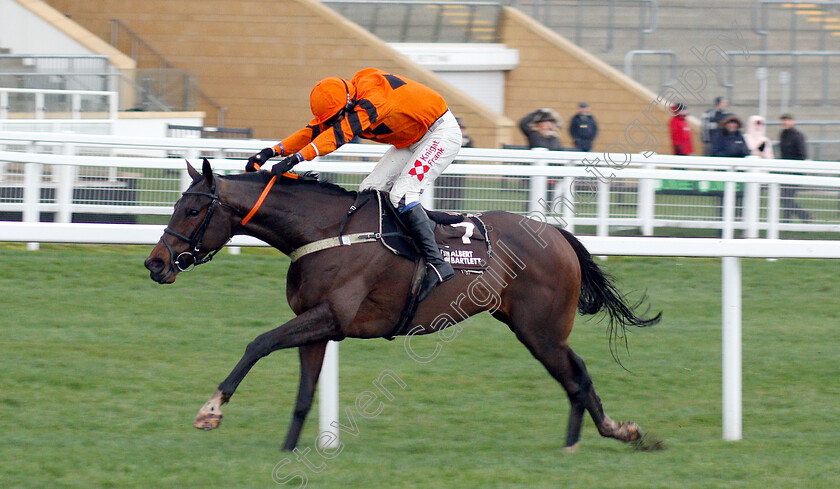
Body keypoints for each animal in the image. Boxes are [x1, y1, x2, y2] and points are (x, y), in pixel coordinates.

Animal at [144, 160, 660, 450]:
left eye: (193, 210)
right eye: (177, 205)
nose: (155, 262)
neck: (325, 232)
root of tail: (557, 235)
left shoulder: (330, 317)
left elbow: (258, 343)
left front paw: (211, 409)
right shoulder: (317, 325)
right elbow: (304, 396)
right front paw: (288, 451)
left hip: (541, 330)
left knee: (576, 375)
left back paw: (599, 437)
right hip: (536, 329)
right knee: (576, 374)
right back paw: (600, 435)